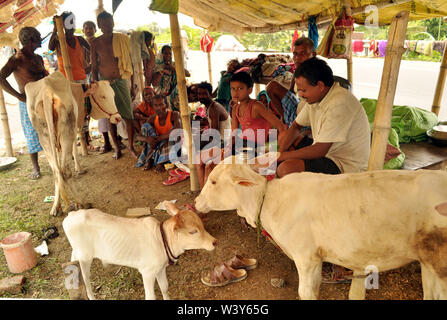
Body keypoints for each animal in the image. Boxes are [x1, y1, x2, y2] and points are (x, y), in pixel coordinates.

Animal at [25, 70, 120, 215]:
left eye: (113, 96)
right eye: (103, 96)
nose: (118, 117)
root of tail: (47, 91)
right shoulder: (74, 128)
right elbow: (75, 149)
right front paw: (78, 168)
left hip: (44, 136)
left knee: (56, 171)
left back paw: (56, 206)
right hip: (66, 132)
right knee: (64, 170)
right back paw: (81, 202)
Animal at [63, 202, 217, 300]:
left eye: (202, 225)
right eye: (193, 231)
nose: (214, 242)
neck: (162, 240)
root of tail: (72, 214)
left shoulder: (160, 268)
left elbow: (164, 287)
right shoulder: (147, 272)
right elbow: (151, 296)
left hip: (77, 253)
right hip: (85, 257)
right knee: (86, 280)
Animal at [197, 159, 447, 302]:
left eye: (213, 181)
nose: (197, 202)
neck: (269, 202)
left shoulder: (305, 257)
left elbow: (306, 294)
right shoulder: (315, 259)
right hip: (428, 264)